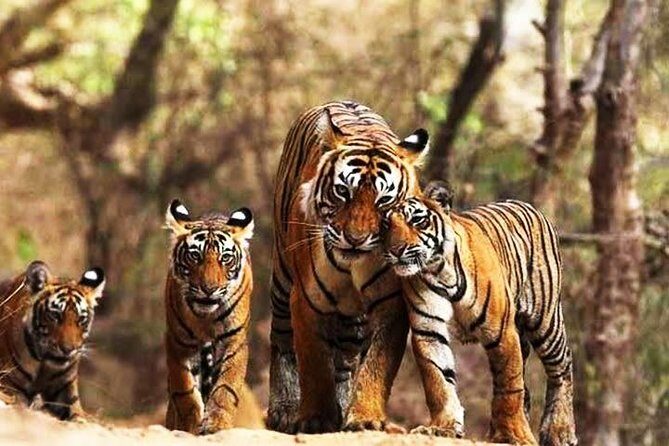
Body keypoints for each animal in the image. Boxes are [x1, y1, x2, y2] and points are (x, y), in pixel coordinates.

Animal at [0, 260, 105, 420]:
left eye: (81, 319)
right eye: (55, 315)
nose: (68, 349)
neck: (44, 366)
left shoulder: (66, 389)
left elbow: (78, 415)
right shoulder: (10, 386)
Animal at [163, 199, 254, 434]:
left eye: (225, 258)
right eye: (195, 256)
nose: (209, 288)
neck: (206, 318)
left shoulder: (235, 342)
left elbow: (226, 387)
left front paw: (216, 424)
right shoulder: (177, 342)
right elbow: (184, 390)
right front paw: (189, 424)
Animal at [267, 100, 430, 433]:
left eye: (383, 201)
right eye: (343, 192)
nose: (355, 239)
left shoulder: (392, 304)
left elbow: (378, 363)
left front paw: (364, 417)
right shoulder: (306, 299)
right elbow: (314, 361)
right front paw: (316, 417)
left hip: (354, 322)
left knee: (346, 359)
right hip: (282, 280)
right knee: (282, 339)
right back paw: (286, 409)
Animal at [381, 181, 577, 446]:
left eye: (417, 221)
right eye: (385, 225)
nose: (396, 250)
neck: (440, 271)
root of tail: (529, 206)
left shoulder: (501, 331)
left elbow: (508, 386)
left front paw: (513, 434)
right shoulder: (429, 330)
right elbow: (438, 379)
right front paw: (443, 427)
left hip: (544, 321)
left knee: (561, 368)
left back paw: (560, 431)